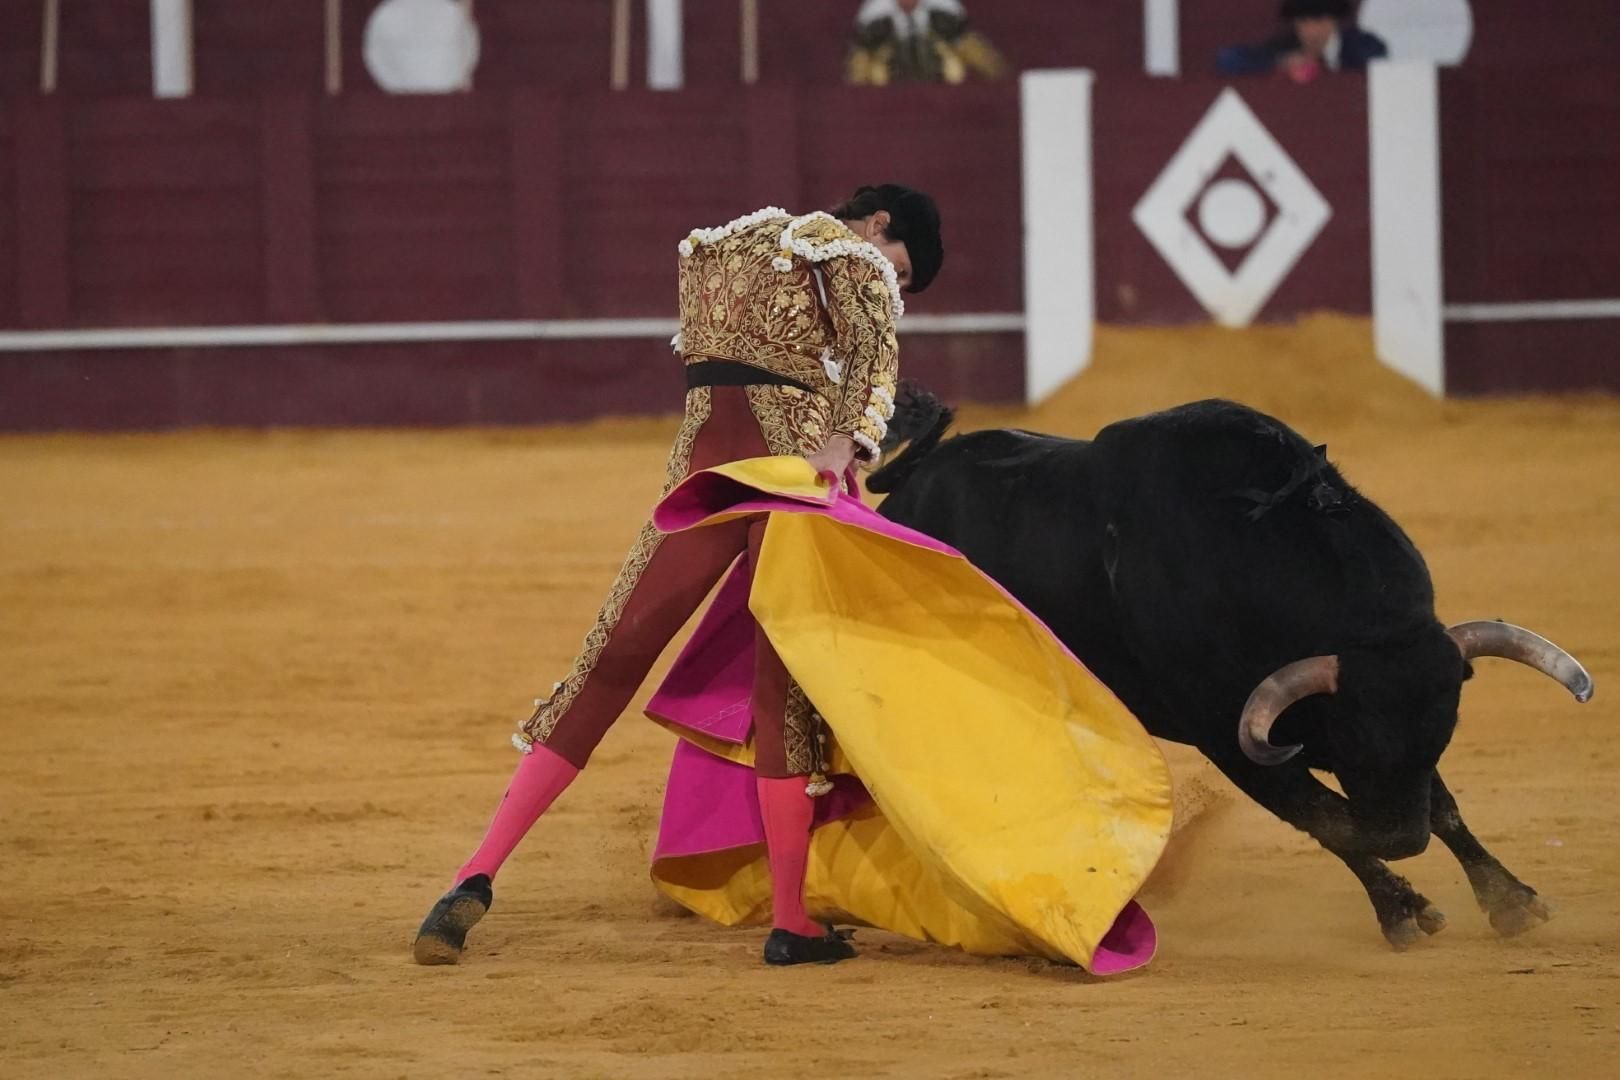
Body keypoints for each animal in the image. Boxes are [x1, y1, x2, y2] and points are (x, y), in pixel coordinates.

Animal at [868, 395, 1587, 945]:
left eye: (1446, 729)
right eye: (1357, 740)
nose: (1402, 838)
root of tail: (909, 485)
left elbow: (1444, 807)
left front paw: (1512, 901)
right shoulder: (1231, 739)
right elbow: (1323, 817)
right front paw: (1403, 910)